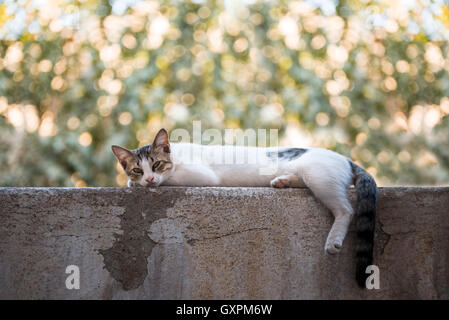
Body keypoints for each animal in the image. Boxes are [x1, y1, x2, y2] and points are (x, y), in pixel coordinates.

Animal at [111, 127, 374, 288]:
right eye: (137, 169)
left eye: (156, 164)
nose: (148, 179)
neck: (176, 154)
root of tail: (345, 159)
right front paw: (133, 183)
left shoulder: (201, 176)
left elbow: (172, 178)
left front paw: (142, 185)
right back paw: (283, 181)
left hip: (320, 178)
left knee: (346, 210)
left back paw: (334, 241)